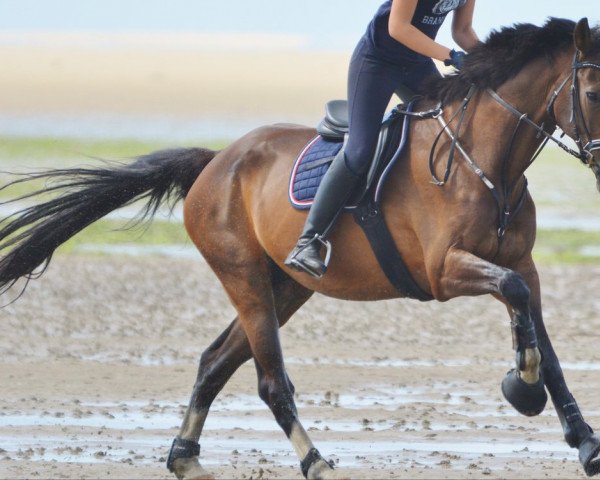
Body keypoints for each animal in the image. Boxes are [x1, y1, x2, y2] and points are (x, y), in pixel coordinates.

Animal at [1, 15, 600, 480]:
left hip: (286, 287)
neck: (486, 164)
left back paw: (185, 456)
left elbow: (543, 341)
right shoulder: (444, 271)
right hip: (245, 278)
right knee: (270, 381)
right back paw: (316, 461)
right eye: (594, 93)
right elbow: (518, 306)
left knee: (215, 362)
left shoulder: (520, 263)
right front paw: (522, 383)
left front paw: (583, 439)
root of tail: (216, 161)